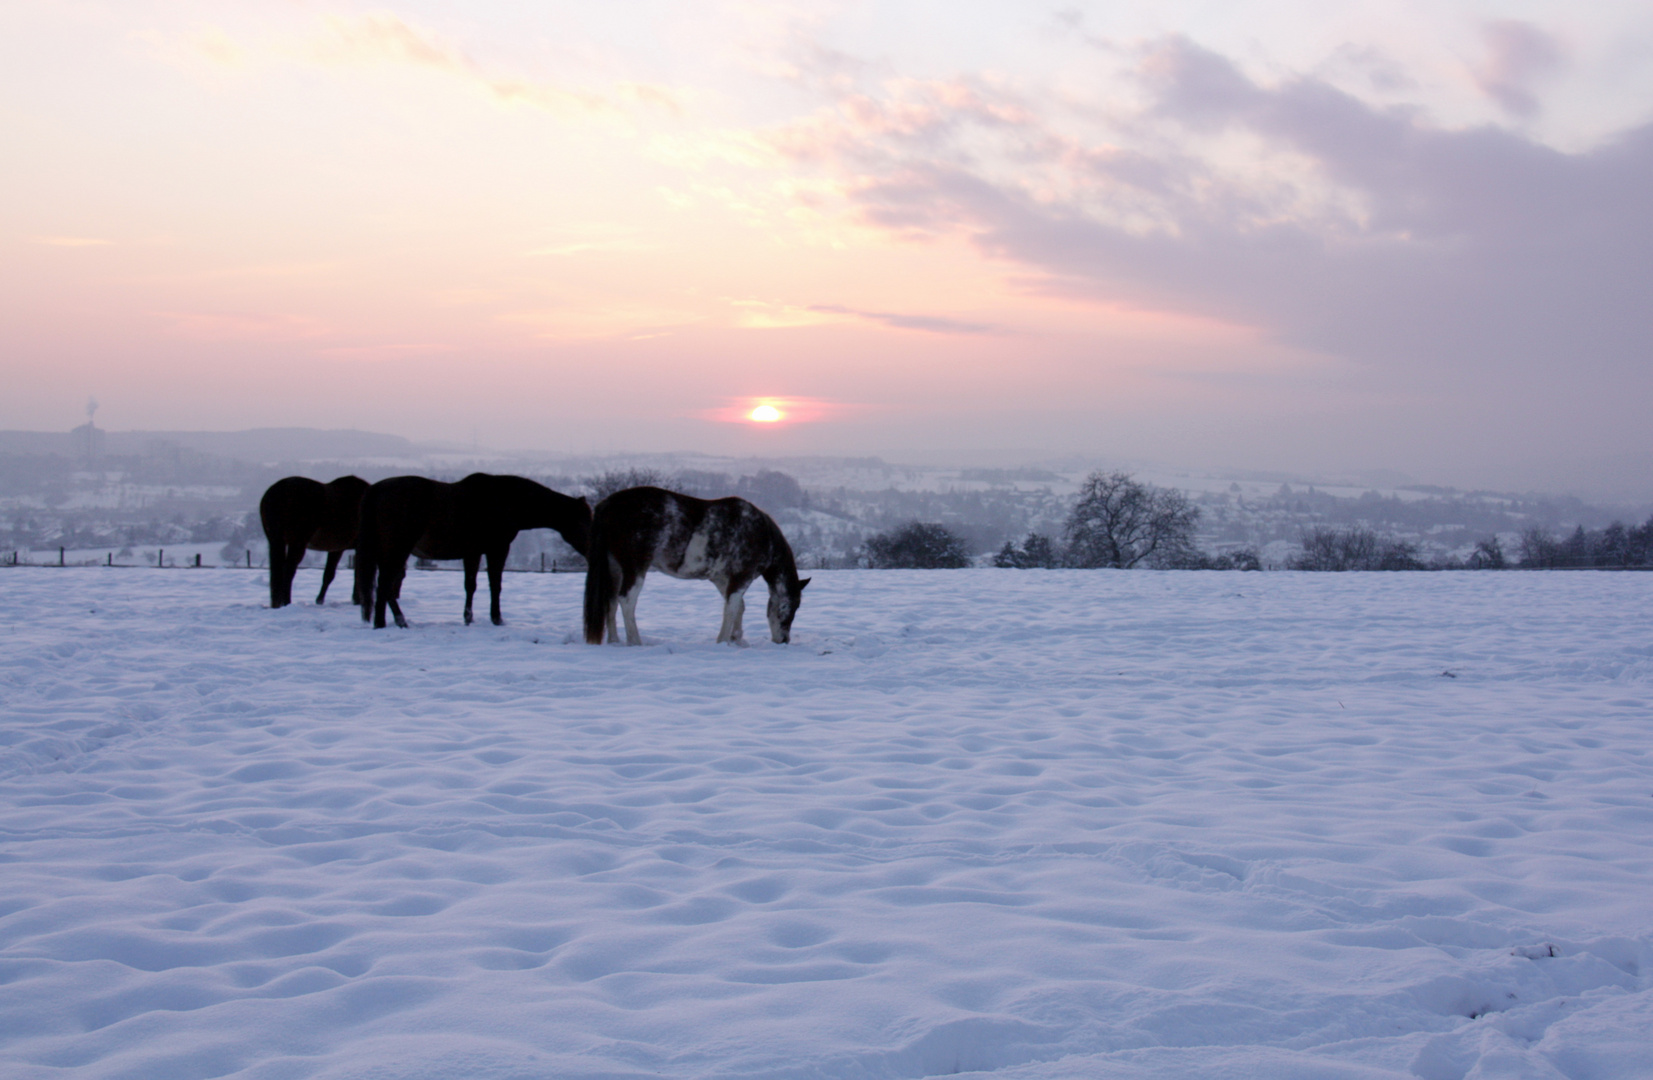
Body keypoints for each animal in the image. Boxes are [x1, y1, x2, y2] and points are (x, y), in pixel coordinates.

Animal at [257, 473, 368, 605]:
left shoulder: (337, 549)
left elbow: (329, 574)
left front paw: (320, 600)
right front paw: (358, 600)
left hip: (276, 541)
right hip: (297, 543)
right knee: (288, 570)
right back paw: (287, 601)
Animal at [352, 466, 591, 628]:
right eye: (583, 522)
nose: (592, 550)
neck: (505, 500)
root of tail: (376, 489)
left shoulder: (473, 553)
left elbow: (471, 585)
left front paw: (469, 618)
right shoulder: (497, 549)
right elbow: (495, 584)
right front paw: (497, 618)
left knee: (385, 586)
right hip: (397, 549)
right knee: (385, 584)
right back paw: (391, 621)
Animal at [585, 482, 809, 645]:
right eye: (792, 606)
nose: (784, 640)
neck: (761, 535)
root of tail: (608, 504)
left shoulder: (721, 579)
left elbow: (739, 607)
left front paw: (736, 639)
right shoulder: (741, 577)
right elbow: (732, 608)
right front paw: (723, 641)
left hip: (614, 568)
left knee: (611, 601)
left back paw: (614, 641)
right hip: (635, 567)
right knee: (627, 600)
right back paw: (635, 641)